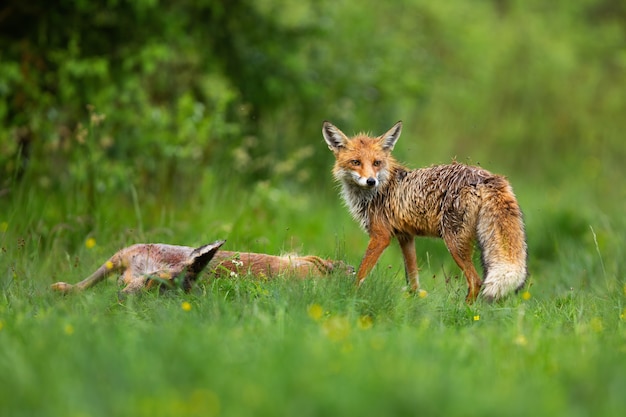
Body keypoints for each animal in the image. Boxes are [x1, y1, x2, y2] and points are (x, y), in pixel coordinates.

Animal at [322, 120, 528, 302]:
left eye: (376, 163)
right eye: (356, 162)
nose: (371, 181)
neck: (382, 189)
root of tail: (486, 177)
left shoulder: (381, 236)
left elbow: (361, 274)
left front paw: (350, 297)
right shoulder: (406, 237)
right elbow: (413, 281)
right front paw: (413, 304)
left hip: (454, 243)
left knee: (476, 281)